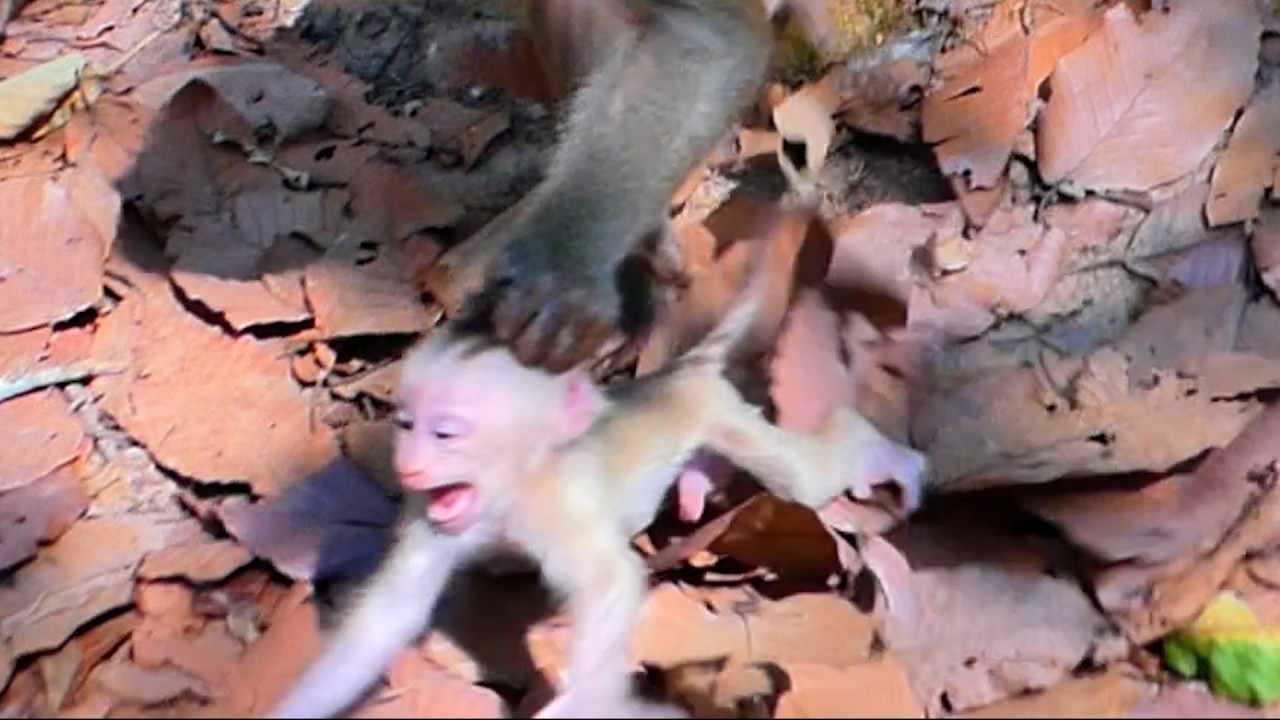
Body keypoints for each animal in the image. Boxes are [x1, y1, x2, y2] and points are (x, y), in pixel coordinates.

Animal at [267, 266, 929, 719]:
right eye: (405, 424)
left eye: (445, 432)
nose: (408, 464)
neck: (513, 487)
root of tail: (675, 374)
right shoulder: (434, 515)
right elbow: (389, 617)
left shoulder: (552, 507)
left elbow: (611, 583)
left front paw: (583, 704)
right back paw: (701, 480)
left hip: (715, 410)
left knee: (801, 479)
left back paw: (882, 454)